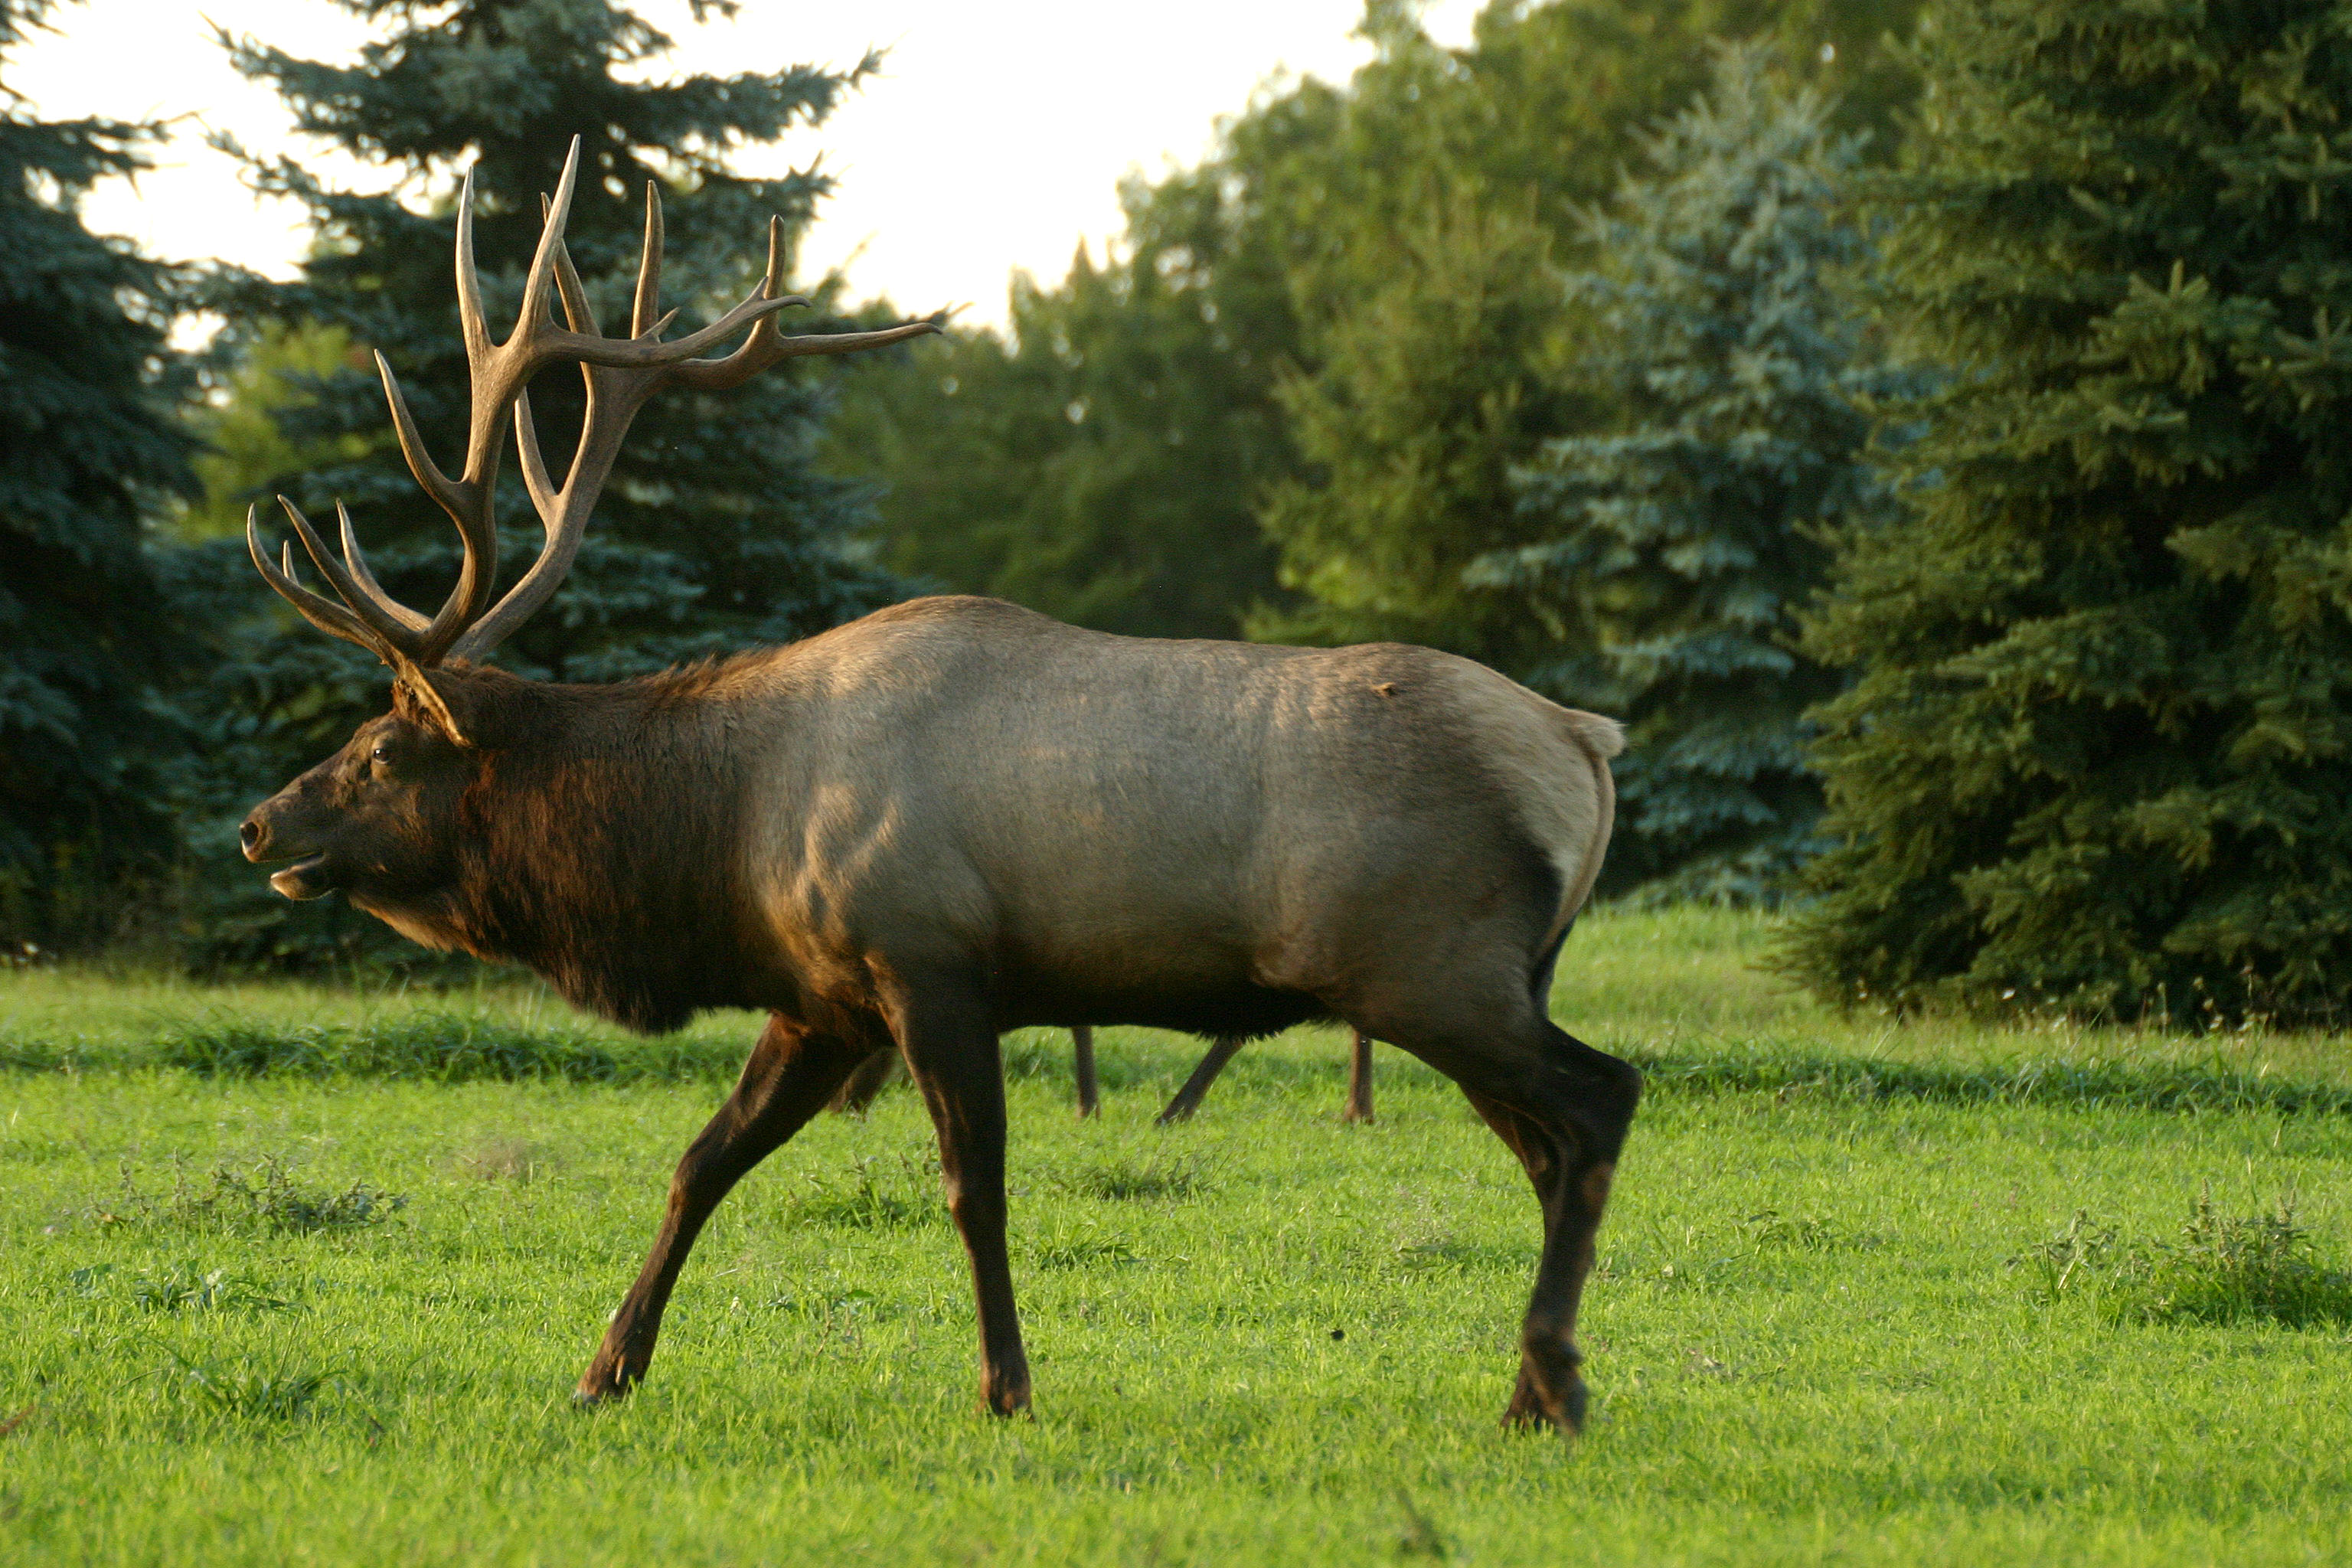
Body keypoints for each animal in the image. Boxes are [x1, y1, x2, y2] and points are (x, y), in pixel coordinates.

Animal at [238, 138, 1637, 1439]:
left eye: (378, 751)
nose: (258, 822)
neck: (722, 839)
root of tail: (1583, 743)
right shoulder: (823, 997)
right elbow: (701, 1162)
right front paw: (604, 1369)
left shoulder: (929, 961)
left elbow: (973, 1187)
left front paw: (1005, 1384)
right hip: (1478, 979)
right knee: (1546, 1145)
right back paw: (1531, 1388)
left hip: (1428, 964)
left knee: (1601, 1100)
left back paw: (1555, 1379)